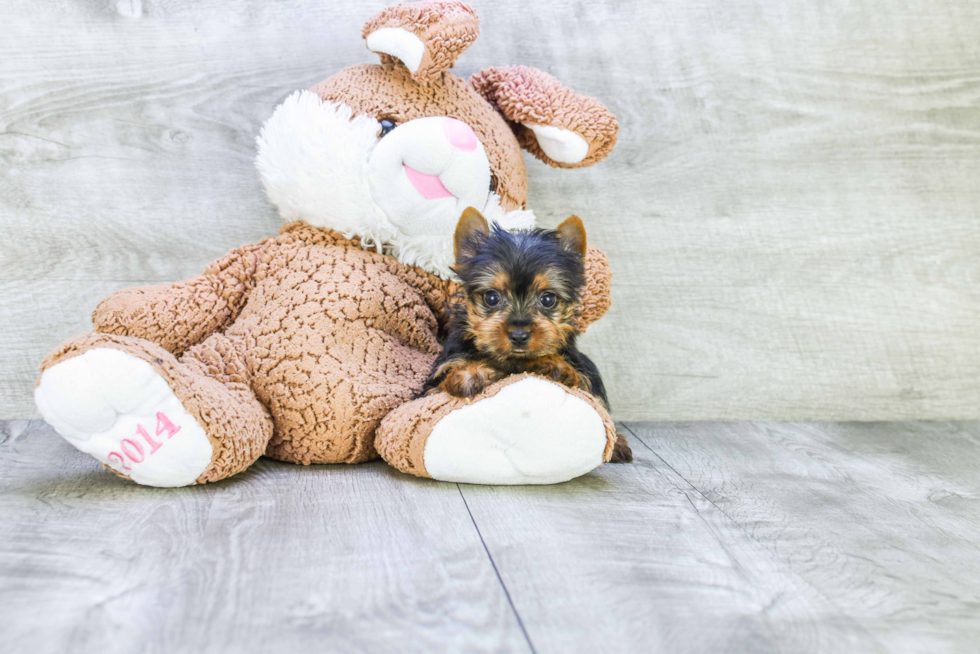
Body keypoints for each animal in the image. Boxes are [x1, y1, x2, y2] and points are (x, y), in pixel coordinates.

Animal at [424, 208, 636, 464]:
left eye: (548, 299)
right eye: (491, 297)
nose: (518, 335)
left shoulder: (586, 379)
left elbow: (585, 389)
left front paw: (558, 366)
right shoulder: (434, 383)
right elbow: (446, 382)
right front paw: (470, 373)